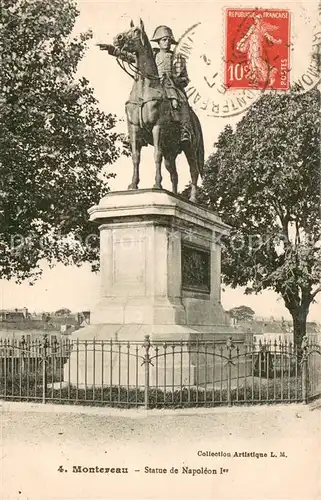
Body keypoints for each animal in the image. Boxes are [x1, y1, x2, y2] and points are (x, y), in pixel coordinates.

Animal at [112, 19, 202, 203]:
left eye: (136, 31)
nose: (118, 38)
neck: (144, 89)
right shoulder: (133, 129)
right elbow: (136, 157)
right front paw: (133, 185)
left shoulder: (157, 127)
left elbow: (156, 155)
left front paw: (157, 184)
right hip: (171, 152)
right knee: (174, 173)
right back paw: (174, 194)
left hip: (190, 147)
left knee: (194, 170)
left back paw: (192, 199)